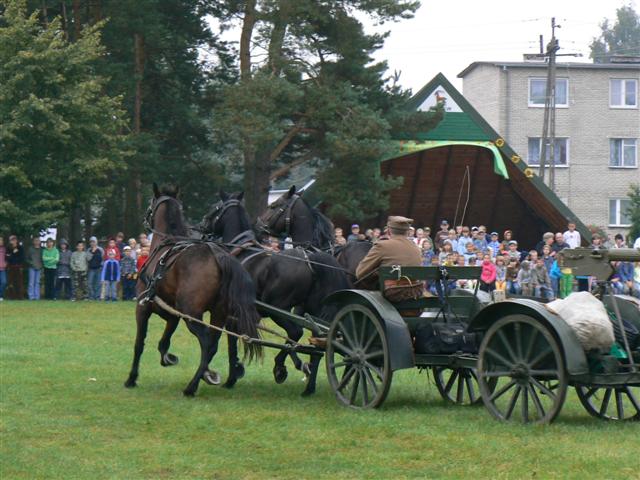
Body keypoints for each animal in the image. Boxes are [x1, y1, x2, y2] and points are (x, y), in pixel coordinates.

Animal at [124, 184, 262, 398]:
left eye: (150, 203)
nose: (145, 219)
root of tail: (219, 256)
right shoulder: (174, 314)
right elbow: (164, 342)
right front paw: (168, 358)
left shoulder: (143, 308)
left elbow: (139, 344)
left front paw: (131, 378)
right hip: (218, 313)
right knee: (212, 344)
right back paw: (206, 375)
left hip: (193, 314)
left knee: (205, 342)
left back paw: (192, 385)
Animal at [199, 189, 350, 396]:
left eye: (214, 208)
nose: (201, 226)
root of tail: (310, 259)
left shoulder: (232, 314)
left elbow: (229, 343)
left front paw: (229, 376)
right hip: (315, 312)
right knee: (319, 343)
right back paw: (309, 386)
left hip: (279, 309)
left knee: (296, 332)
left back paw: (281, 367)